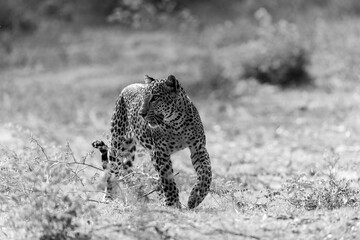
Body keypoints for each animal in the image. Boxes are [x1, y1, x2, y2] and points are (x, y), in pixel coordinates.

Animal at [91, 74, 212, 208]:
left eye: (155, 98)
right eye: (144, 98)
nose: (141, 113)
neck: (176, 123)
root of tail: (128, 86)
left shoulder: (198, 147)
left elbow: (206, 172)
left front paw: (196, 196)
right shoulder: (161, 152)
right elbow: (167, 179)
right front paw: (173, 203)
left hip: (130, 151)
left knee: (128, 172)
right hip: (118, 143)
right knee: (112, 173)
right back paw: (109, 198)